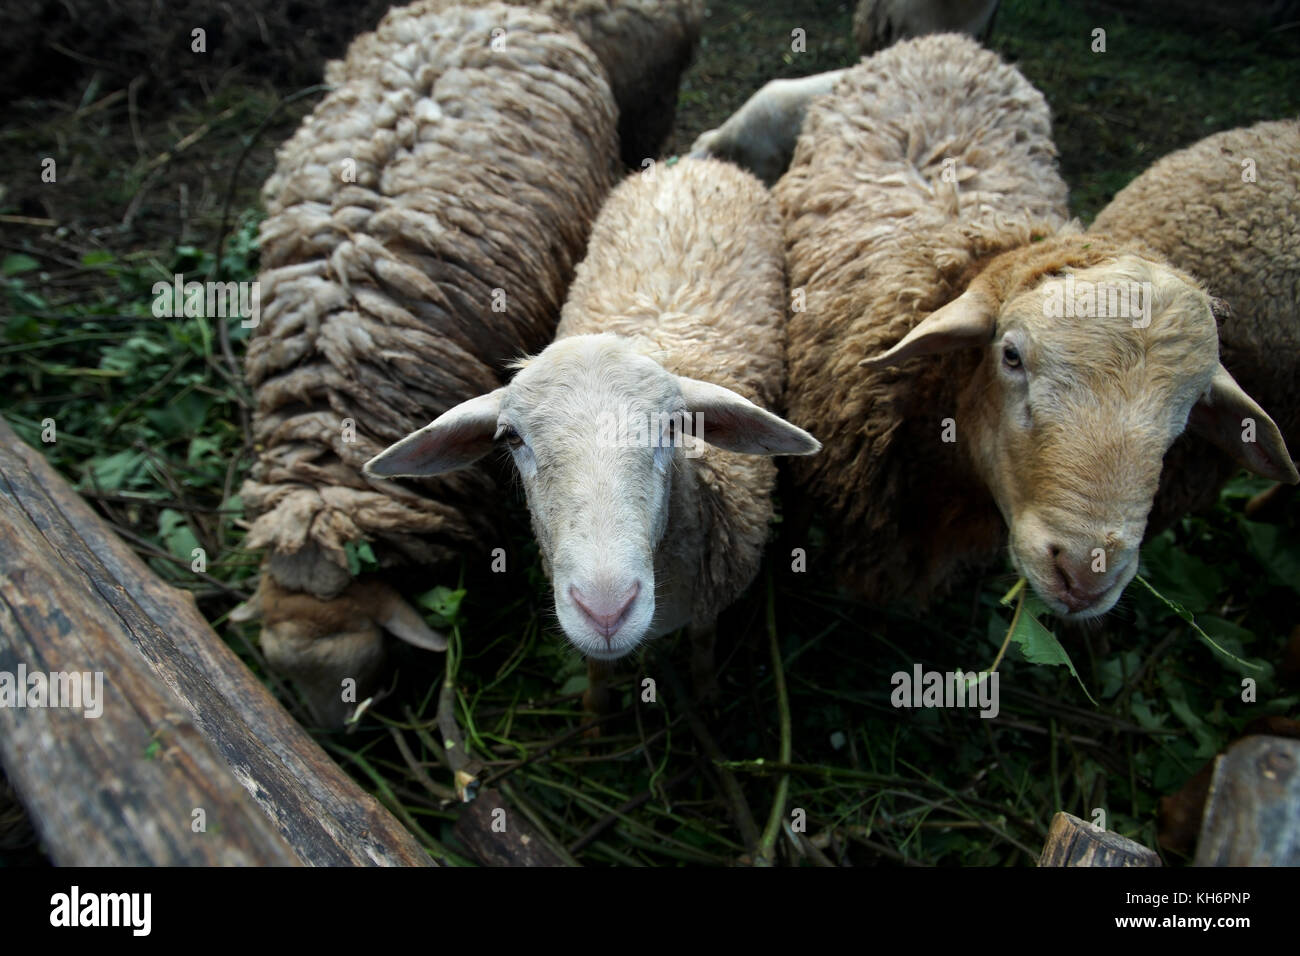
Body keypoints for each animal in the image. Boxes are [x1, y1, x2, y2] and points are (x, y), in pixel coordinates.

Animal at [365, 158, 819, 698]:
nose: (606, 613)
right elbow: (597, 677)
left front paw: (706, 697)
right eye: (512, 437)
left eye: (674, 427)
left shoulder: (709, 603)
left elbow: (704, 649)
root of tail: (691, 163)